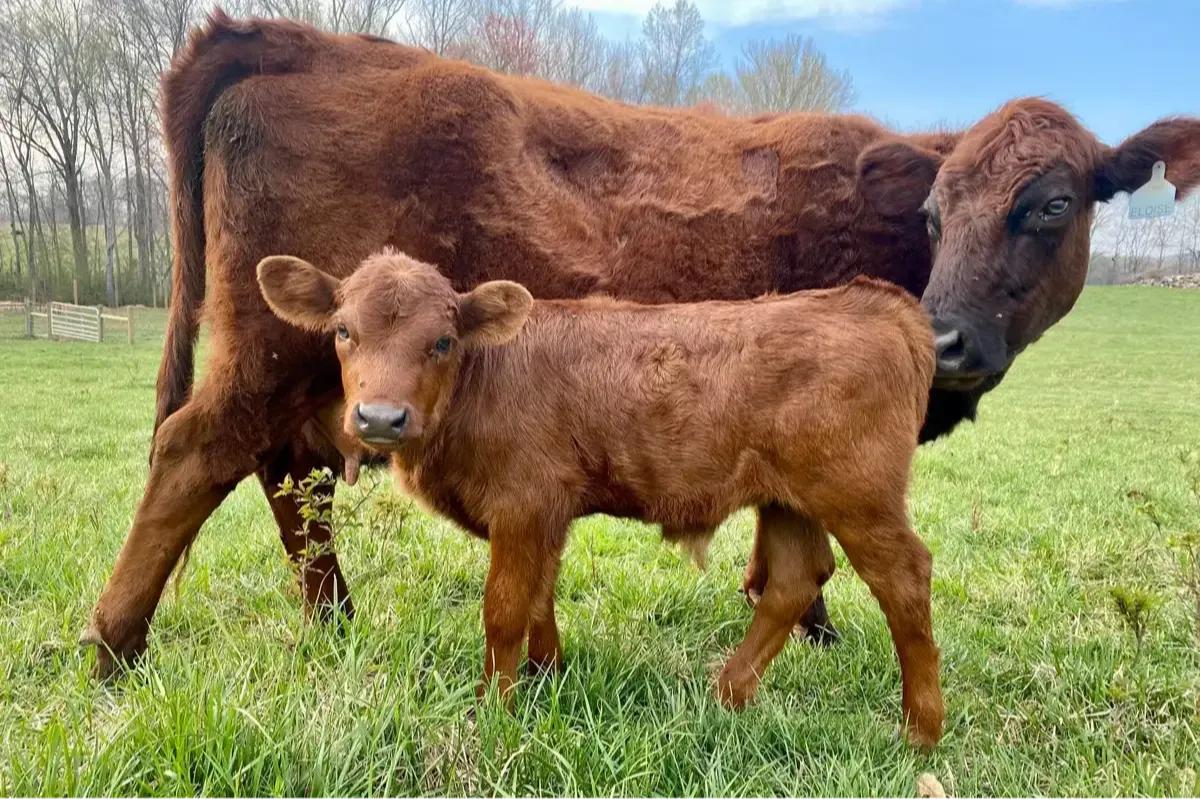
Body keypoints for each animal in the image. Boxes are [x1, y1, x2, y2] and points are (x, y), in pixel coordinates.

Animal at [79, 11, 1200, 677]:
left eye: (1051, 203)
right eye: (933, 210)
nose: (949, 336)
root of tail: (284, 36)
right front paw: (817, 632)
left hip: (303, 364)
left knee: (286, 475)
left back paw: (333, 622)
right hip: (280, 353)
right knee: (197, 454)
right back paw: (112, 644)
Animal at [256, 249, 944, 746]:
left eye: (443, 341)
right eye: (343, 331)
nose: (380, 418)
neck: (482, 383)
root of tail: (871, 300)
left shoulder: (523, 505)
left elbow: (505, 608)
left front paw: (494, 709)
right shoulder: (546, 514)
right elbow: (539, 596)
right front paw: (549, 678)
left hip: (859, 496)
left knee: (903, 579)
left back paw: (920, 731)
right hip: (790, 499)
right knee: (796, 580)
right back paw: (724, 697)